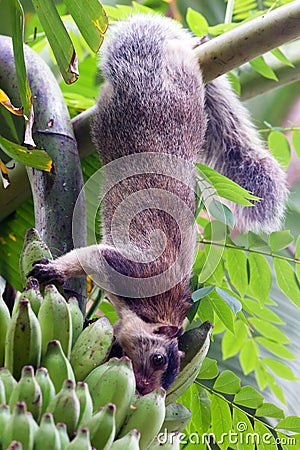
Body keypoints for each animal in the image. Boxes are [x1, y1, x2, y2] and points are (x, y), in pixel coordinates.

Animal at [28, 14, 288, 394]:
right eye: (159, 357)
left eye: (170, 376)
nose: (142, 388)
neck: (155, 312)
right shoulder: (130, 270)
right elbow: (90, 256)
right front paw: (54, 271)